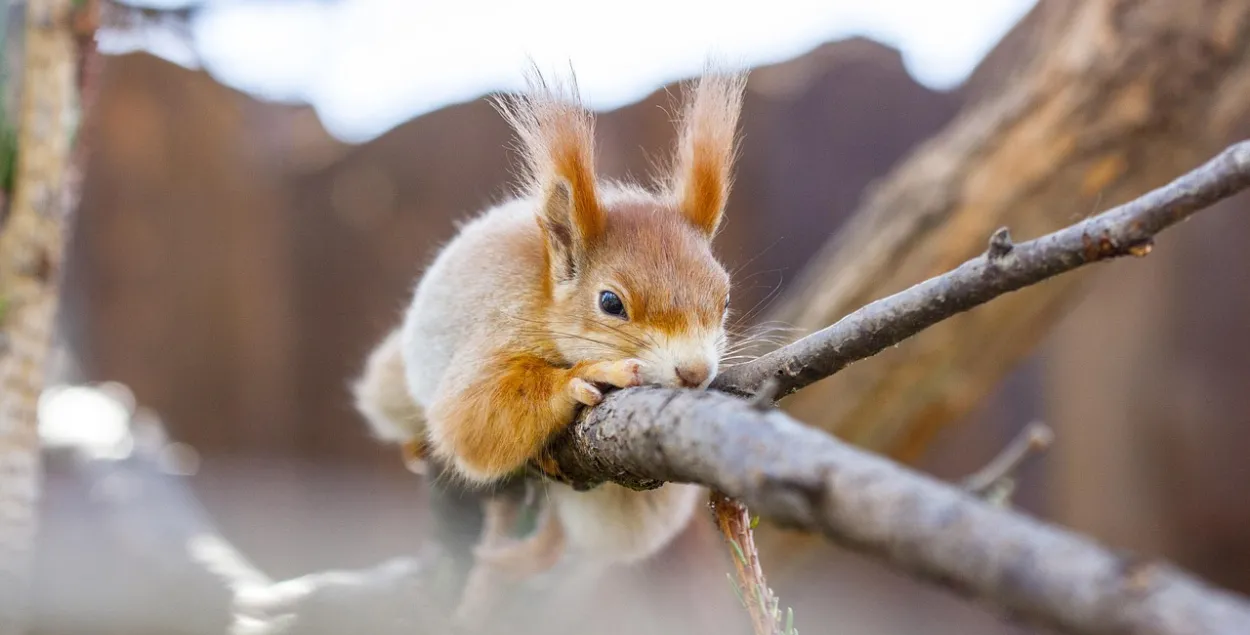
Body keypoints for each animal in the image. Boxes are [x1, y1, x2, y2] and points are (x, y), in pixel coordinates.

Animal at [347, 66, 745, 577]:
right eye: (610, 302)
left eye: (726, 299)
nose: (695, 372)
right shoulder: (498, 322)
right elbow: (469, 418)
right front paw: (582, 378)